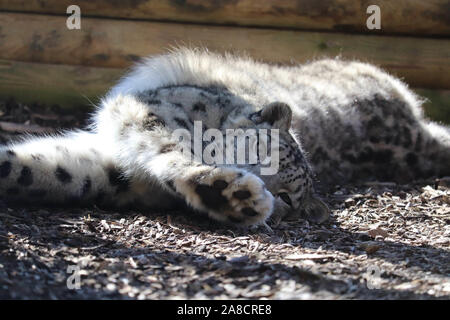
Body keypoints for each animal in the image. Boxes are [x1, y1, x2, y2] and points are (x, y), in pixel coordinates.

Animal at [0, 48, 450, 226]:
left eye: (289, 199)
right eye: (264, 151)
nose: (267, 189)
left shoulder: (123, 162)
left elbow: (65, 174)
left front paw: (231, 196)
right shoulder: (146, 115)